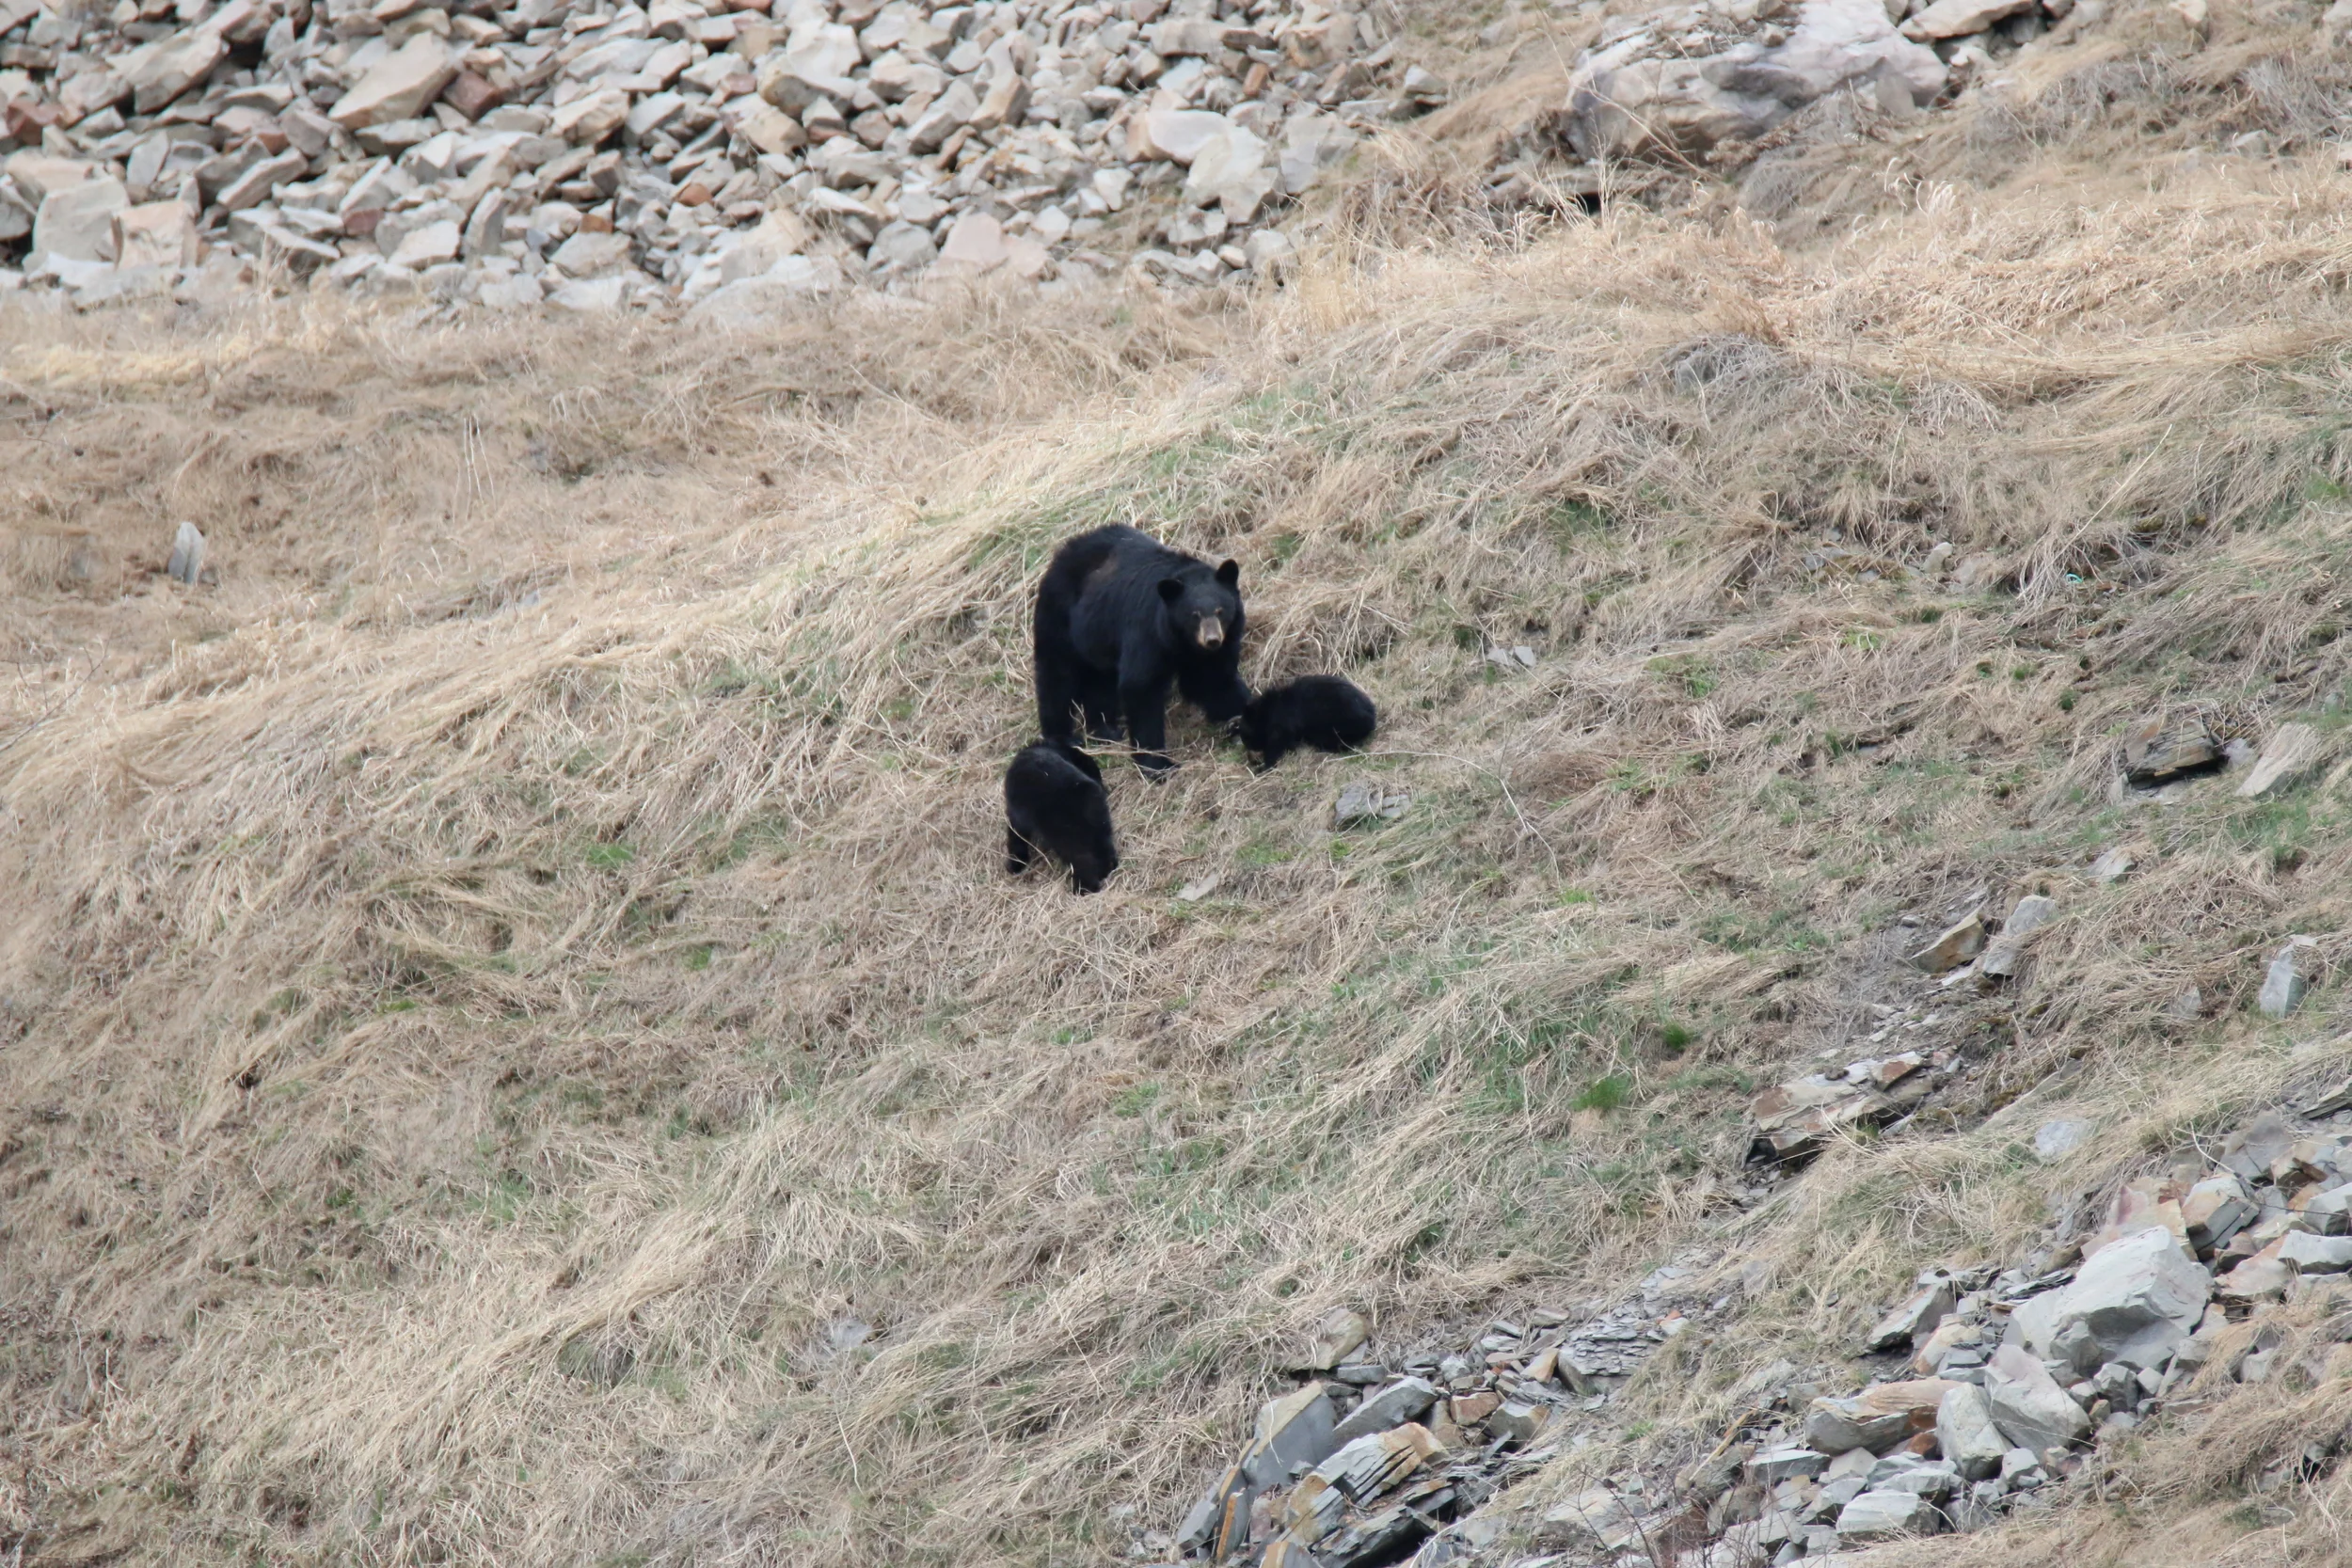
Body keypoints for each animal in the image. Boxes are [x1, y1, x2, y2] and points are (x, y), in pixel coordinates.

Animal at [1003, 739, 1119, 894]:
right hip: (1100, 828)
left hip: (1068, 838)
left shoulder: (1016, 816)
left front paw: (1016, 864)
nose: (1101, 783)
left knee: (1083, 862)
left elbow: (1015, 839)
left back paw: (1083, 889)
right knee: (1105, 850)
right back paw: (1106, 871)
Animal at [1032, 524, 1249, 777]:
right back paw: (1064, 738)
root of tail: (1059, 555)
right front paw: (1158, 765)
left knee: (1100, 682)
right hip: (1060, 620)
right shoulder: (1148, 632)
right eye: (1194, 615)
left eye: (1220, 611)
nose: (1212, 640)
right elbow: (1141, 687)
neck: (1182, 643)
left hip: (1098, 637)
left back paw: (1105, 729)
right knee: (1057, 677)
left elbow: (1214, 681)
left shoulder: (1216, 648)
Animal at [1238, 675, 1378, 770]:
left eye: (1247, 737)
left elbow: (1276, 745)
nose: (1248, 750)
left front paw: (1264, 767)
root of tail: (1372, 714)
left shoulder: (1282, 726)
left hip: (1339, 722)